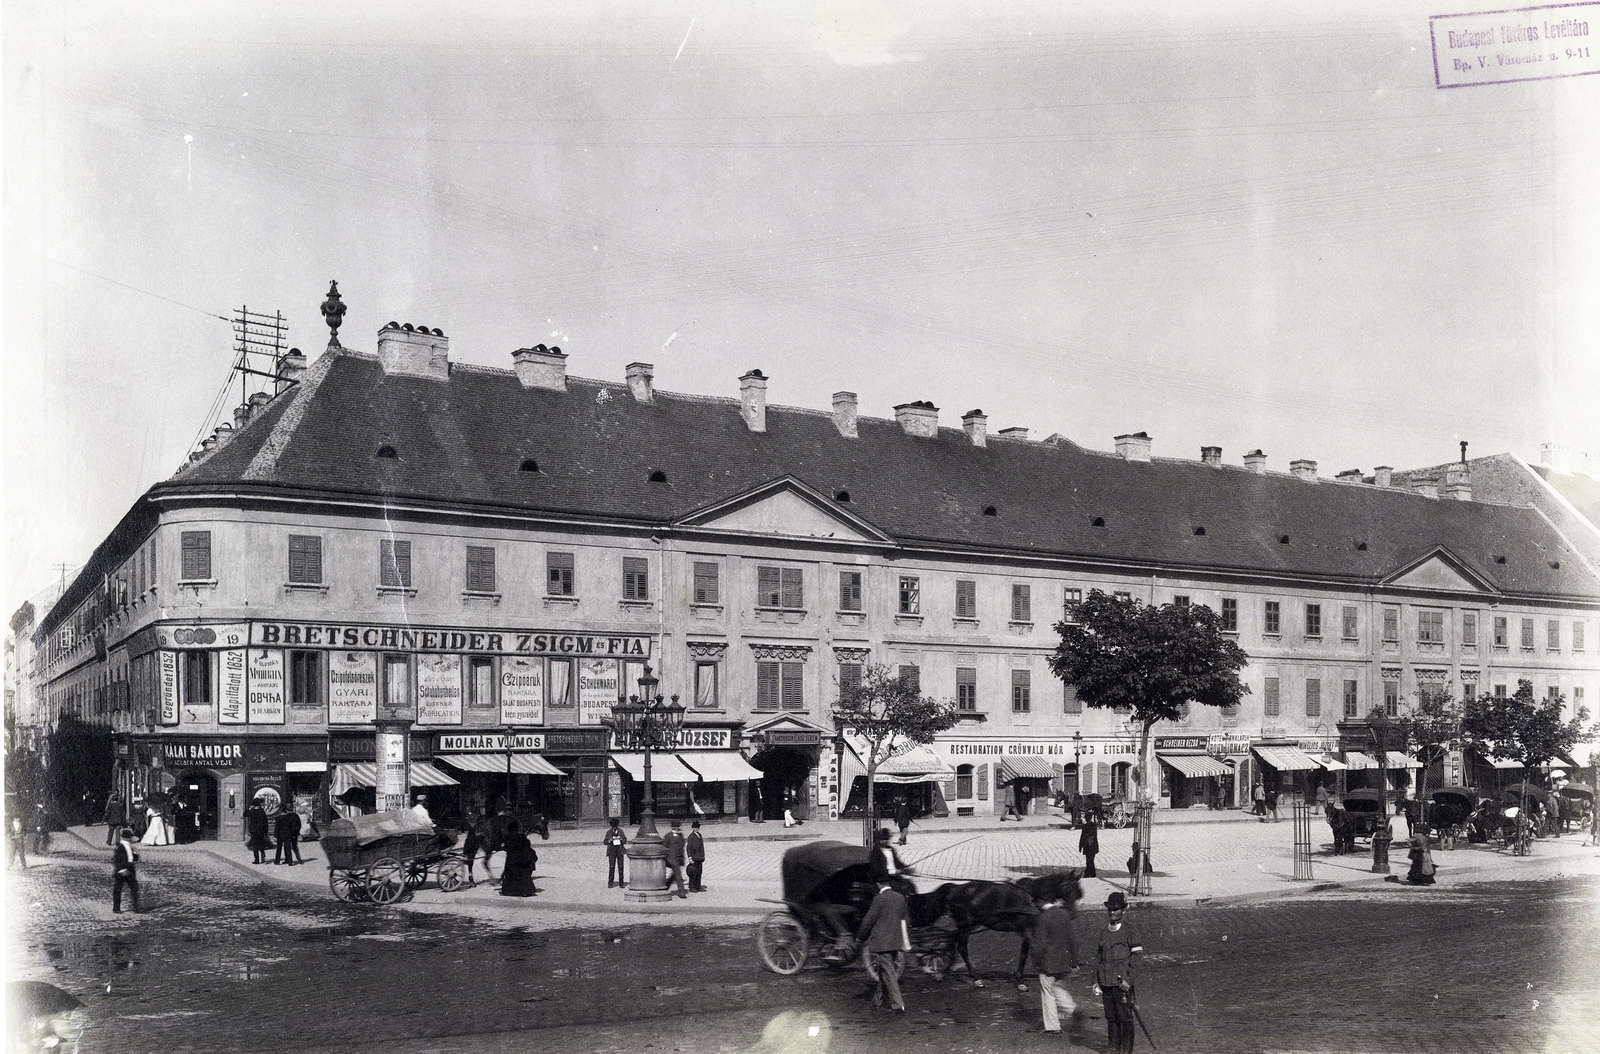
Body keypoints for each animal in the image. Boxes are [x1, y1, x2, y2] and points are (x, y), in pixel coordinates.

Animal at [915, 870, 1088, 985]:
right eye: (1068, 889)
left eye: (1078, 892)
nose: (1073, 914)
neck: (1031, 897)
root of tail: (954, 889)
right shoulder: (1026, 929)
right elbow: (1025, 952)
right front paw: (1020, 980)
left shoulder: (1029, 929)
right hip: (965, 924)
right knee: (962, 947)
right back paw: (974, 977)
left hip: (968, 925)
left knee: (952, 941)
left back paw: (945, 969)